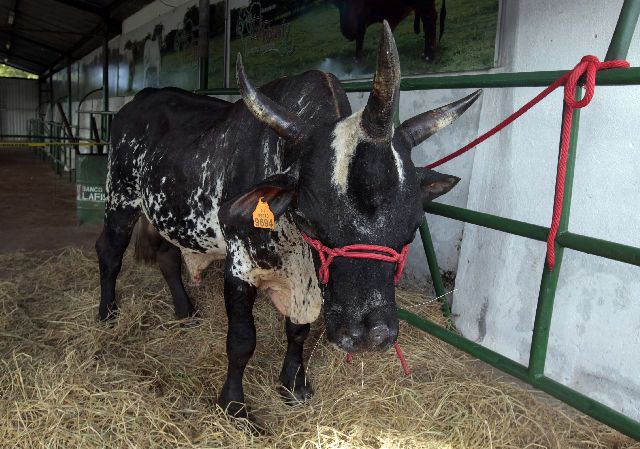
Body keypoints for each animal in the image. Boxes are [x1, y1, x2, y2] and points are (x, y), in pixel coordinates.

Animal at [97, 23, 480, 416]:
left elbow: (298, 330)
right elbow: (241, 340)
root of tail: (138, 101)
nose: (367, 336)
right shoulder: (240, 266)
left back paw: (185, 310)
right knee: (109, 252)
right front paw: (233, 403)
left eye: (413, 226)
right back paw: (107, 313)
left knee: (166, 256)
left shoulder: (308, 279)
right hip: (120, 200)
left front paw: (293, 385)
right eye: (310, 220)